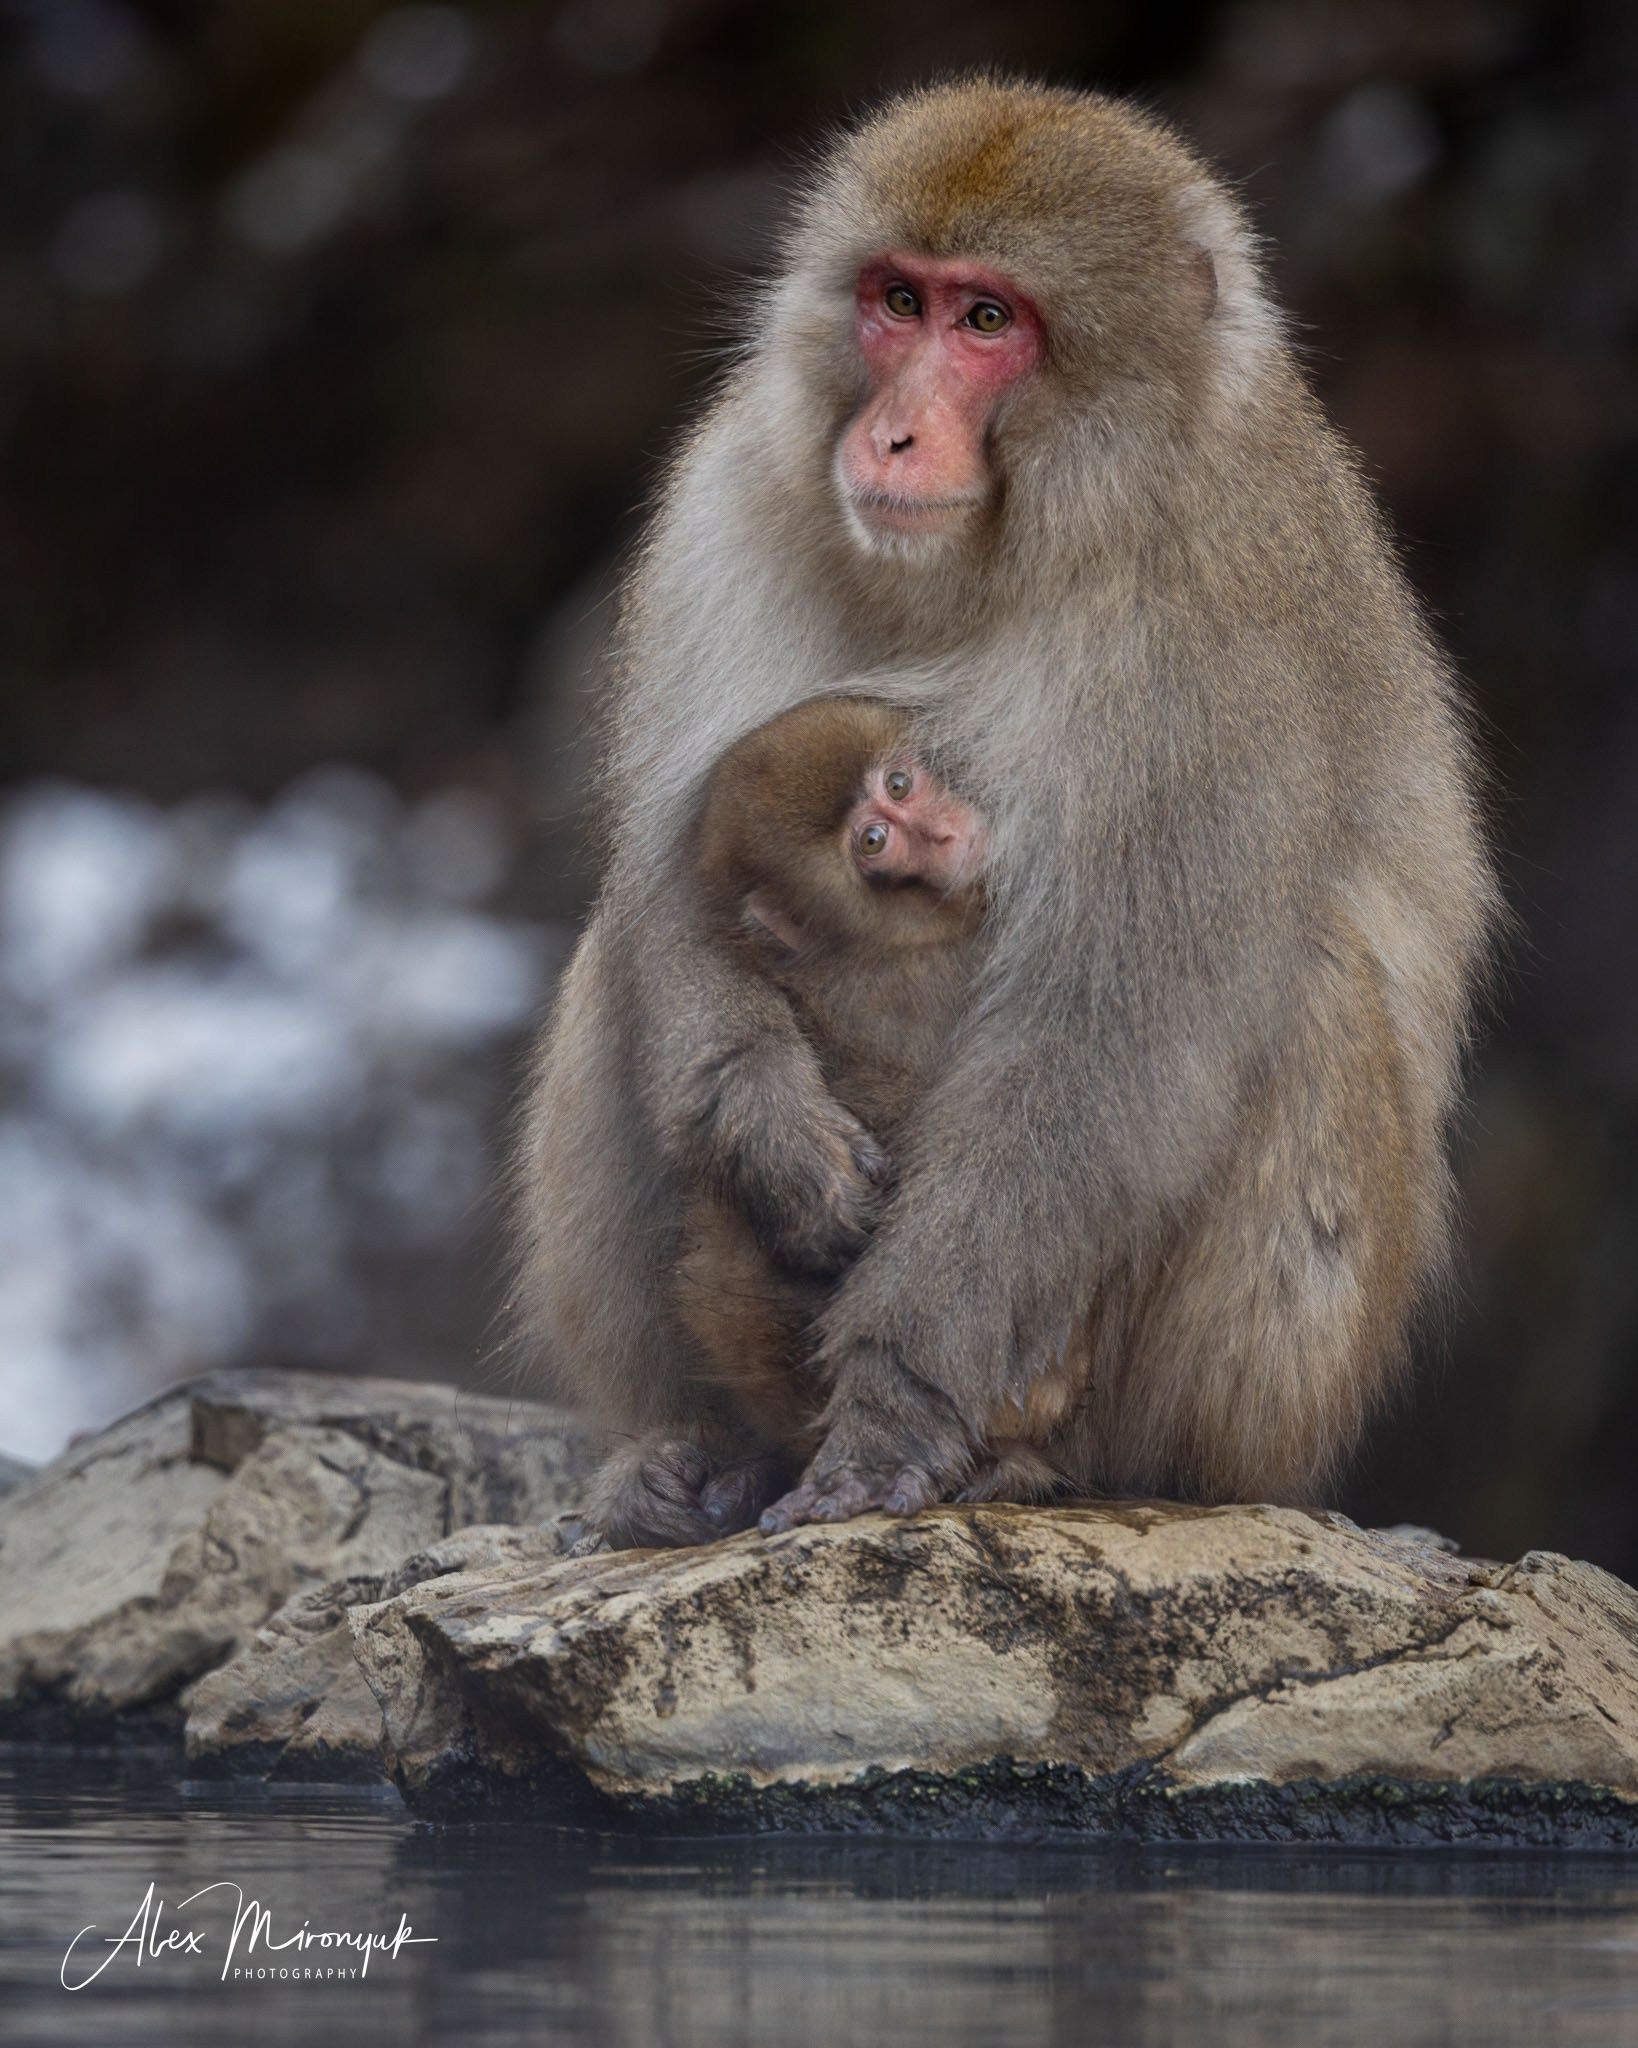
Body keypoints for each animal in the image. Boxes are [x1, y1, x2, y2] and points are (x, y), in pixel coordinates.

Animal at [515, 78, 1497, 1549]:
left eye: (988, 321)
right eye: (896, 301)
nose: (889, 434)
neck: (1006, 550)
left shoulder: (1217, 627)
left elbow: (1110, 1033)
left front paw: (896, 1404)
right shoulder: (726, 495)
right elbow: (669, 890)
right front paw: (766, 1129)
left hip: (1256, 1417)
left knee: (1313, 991)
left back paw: (1043, 1464)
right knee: (607, 967)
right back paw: (694, 1454)